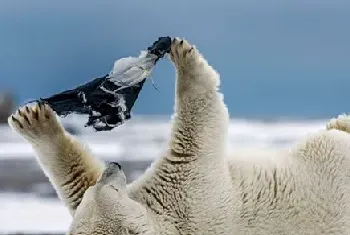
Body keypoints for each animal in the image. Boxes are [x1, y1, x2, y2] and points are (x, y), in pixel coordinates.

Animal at [8, 37, 350, 234]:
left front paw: (32, 119)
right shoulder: (191, 198)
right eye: (108, 191)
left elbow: (76, 179)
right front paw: (184, 56)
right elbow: (199, 125)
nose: (114, 167)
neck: (166, 222)